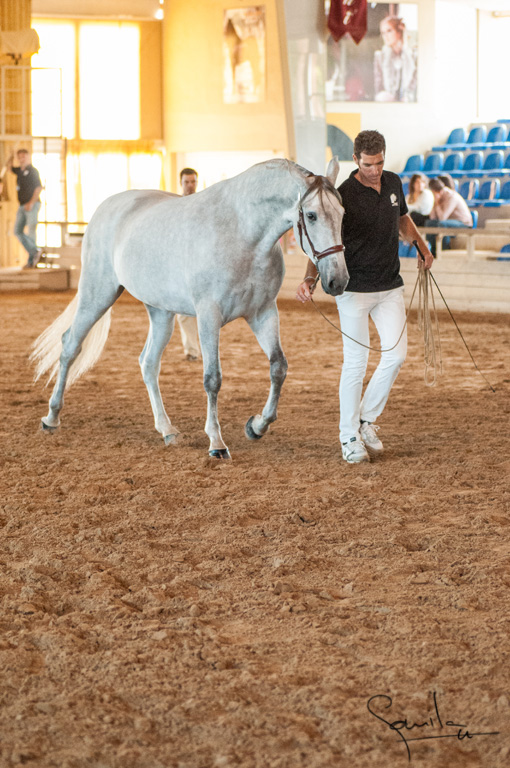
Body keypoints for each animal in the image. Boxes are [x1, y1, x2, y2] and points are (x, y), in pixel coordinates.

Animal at [31, 156, 348, 456]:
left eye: (342, 213)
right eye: (311, 215)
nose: (338, 281)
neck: (242, 233)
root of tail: (106, 207)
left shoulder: (263, 313)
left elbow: (278, 367)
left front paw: (256, 426)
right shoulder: (208, 315)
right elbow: (213, 378)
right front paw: (217, 442)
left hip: (160, 312)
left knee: (148, 363)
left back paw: (167, 429)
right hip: (98, 293)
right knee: (70, 345)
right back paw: (51, 417)